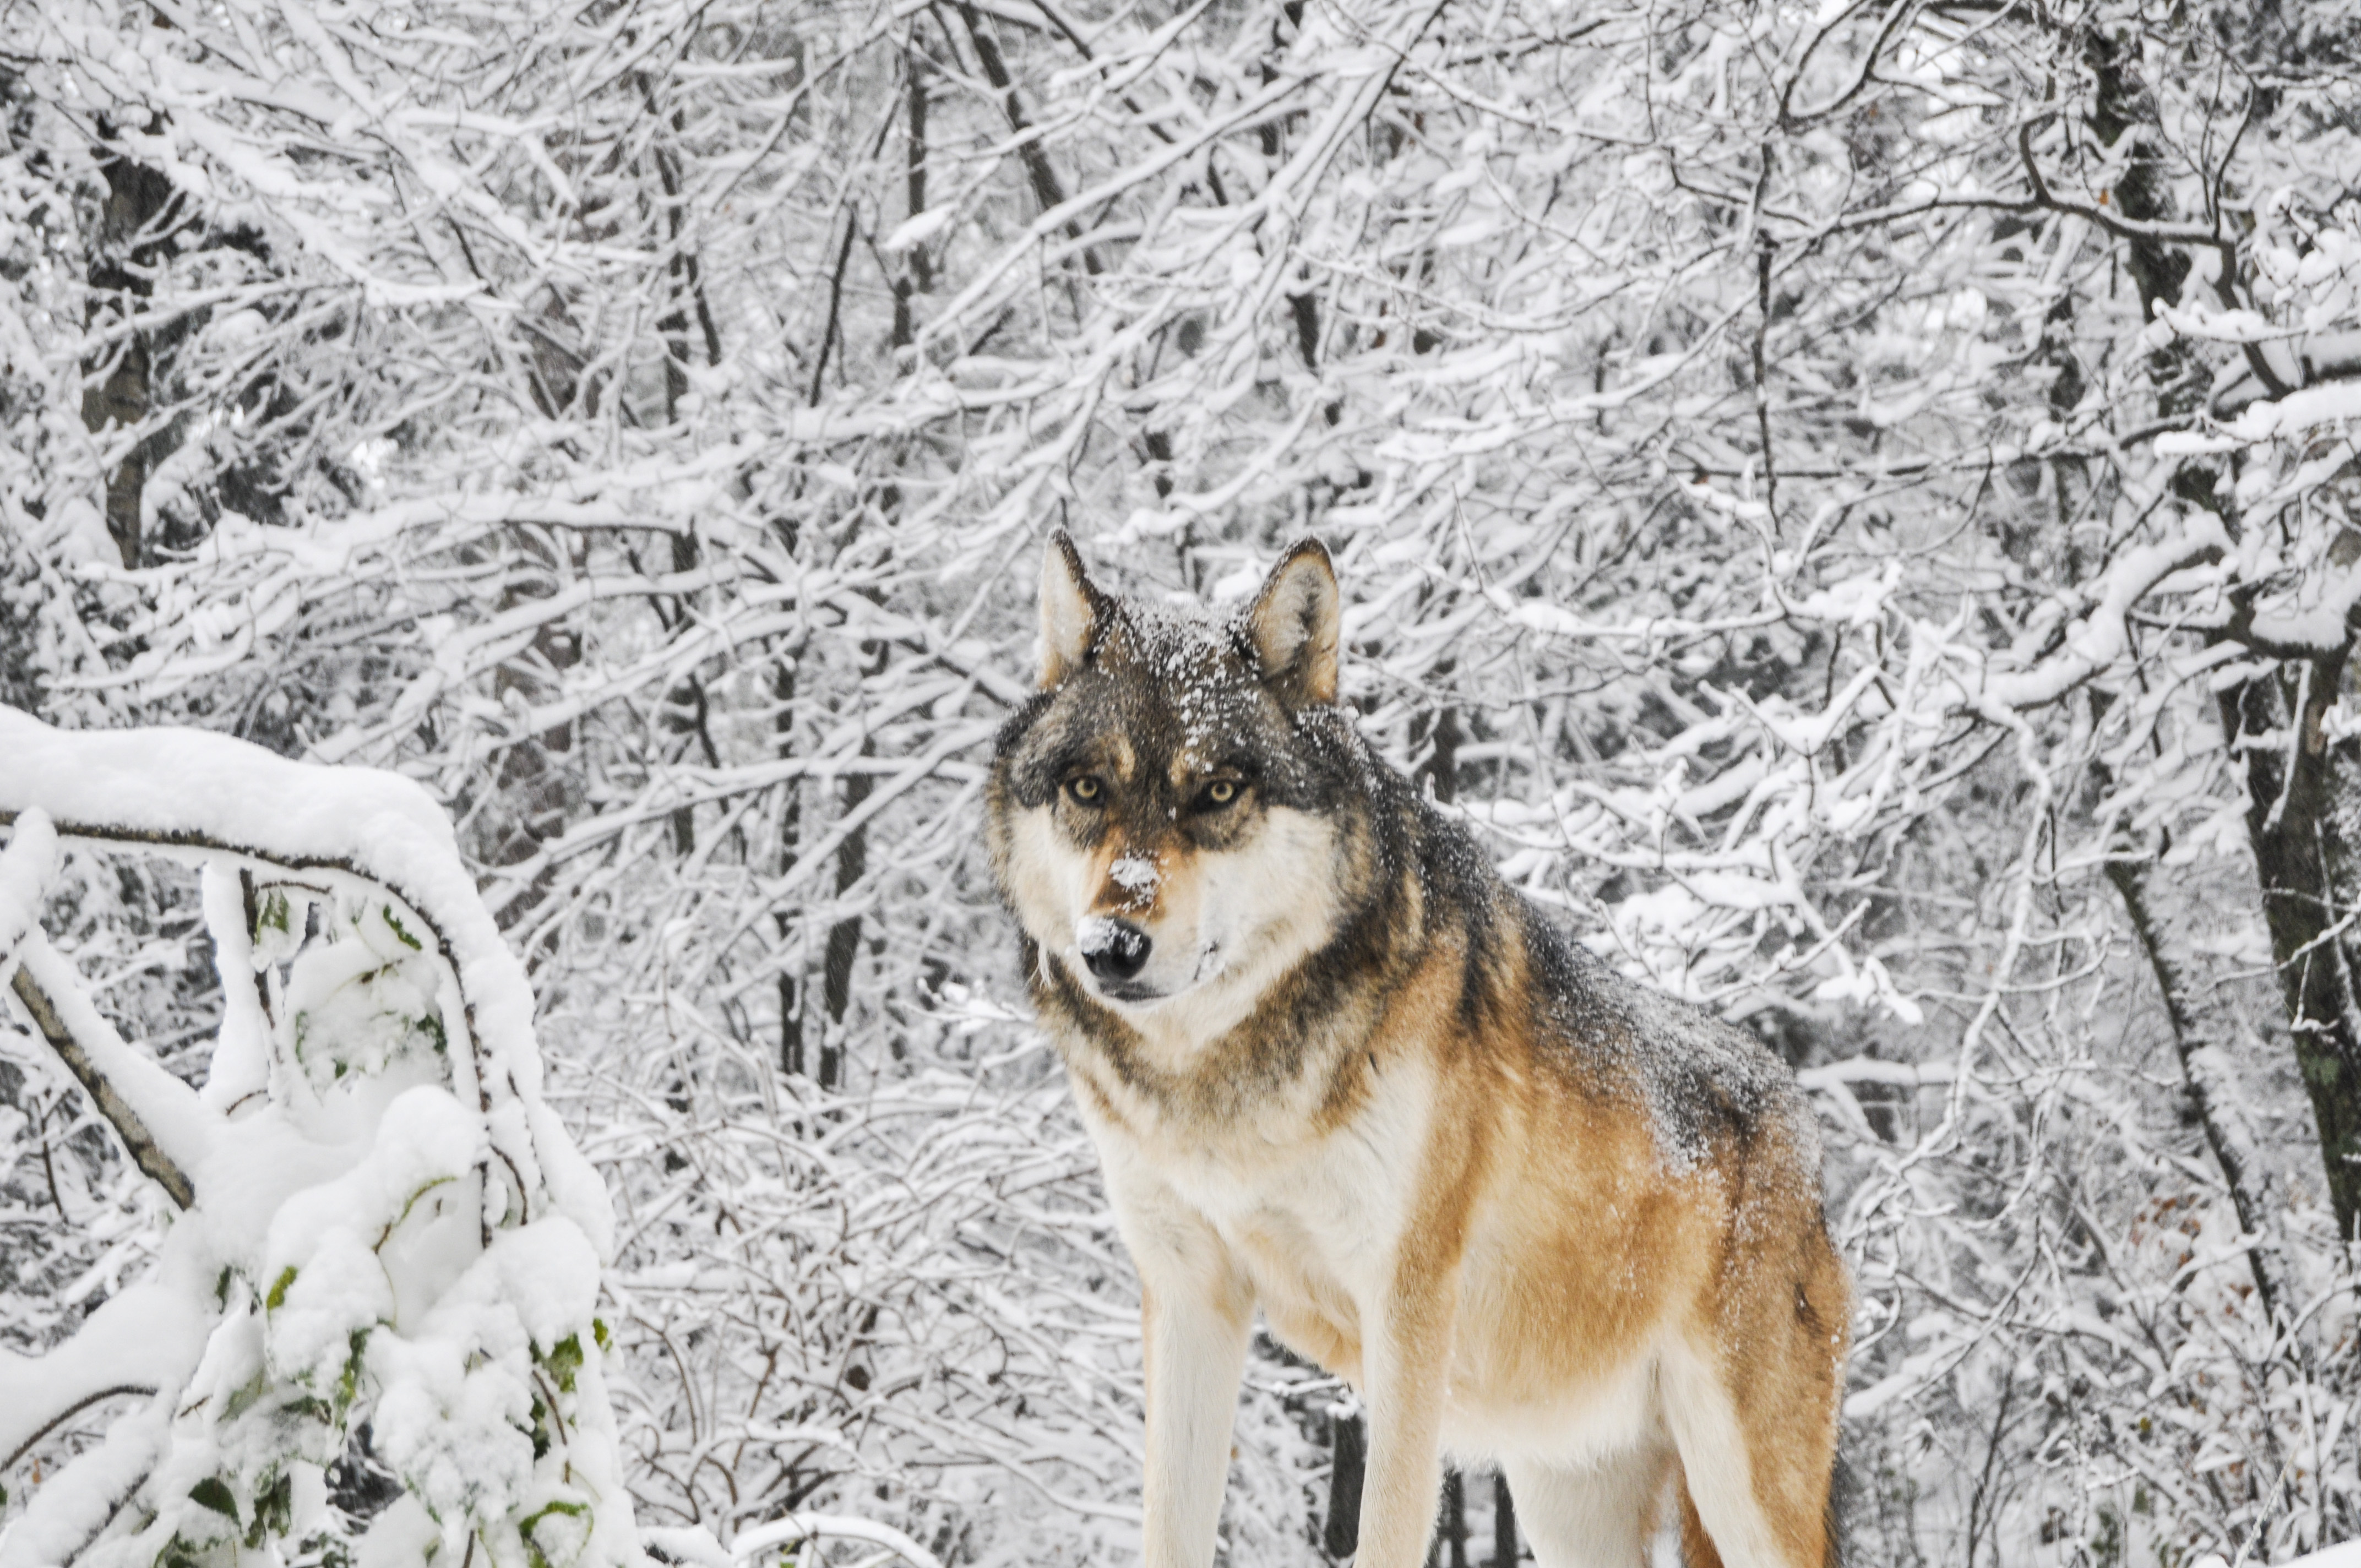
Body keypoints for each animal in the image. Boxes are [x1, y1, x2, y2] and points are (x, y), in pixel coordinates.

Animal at [985, 534, 1850, 1568]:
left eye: (1218, 791)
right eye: (1087, 788)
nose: (1112, 947)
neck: (1221, 1087)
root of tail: (1803, 1128)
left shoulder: (1406, 1311)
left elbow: (1387, 1531)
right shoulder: (1190, 1295)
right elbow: (1169, 1533)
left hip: (1738, 1490)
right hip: (1565, 1503)